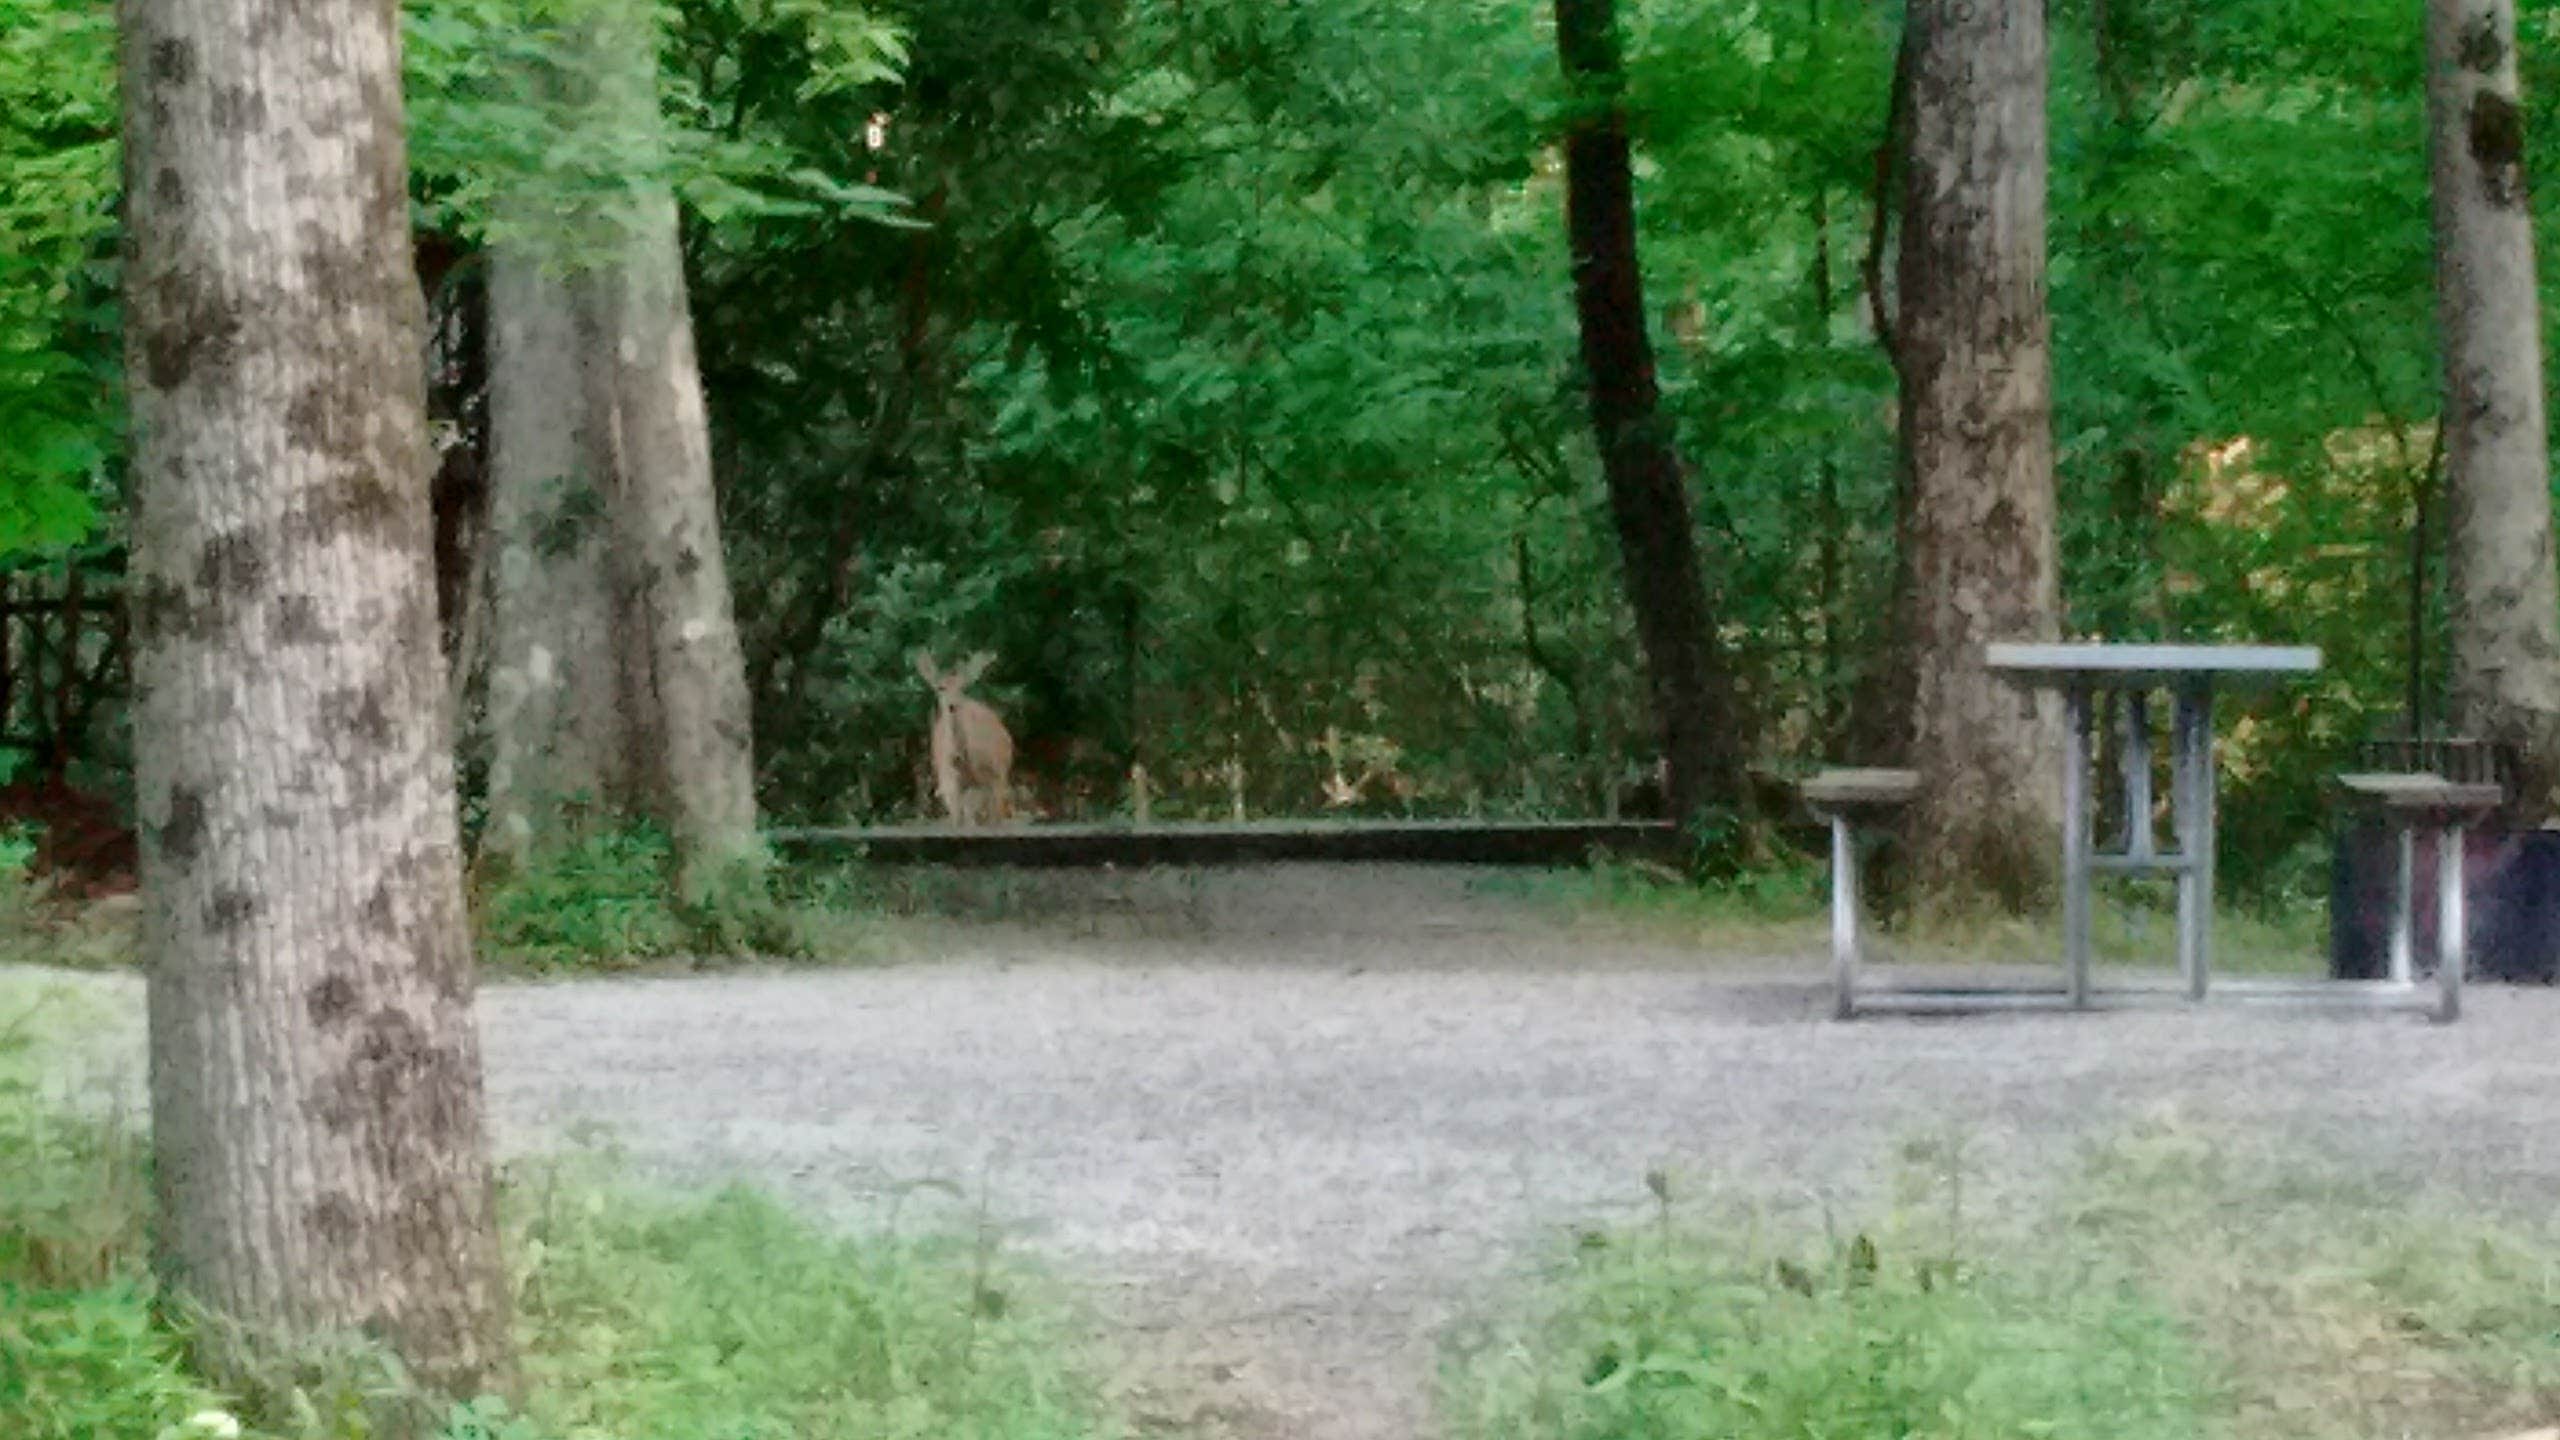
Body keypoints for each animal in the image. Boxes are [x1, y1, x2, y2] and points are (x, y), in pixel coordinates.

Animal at [911, 648, 1008, 825]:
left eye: (962, 687)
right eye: (940, 687)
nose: (953, 706)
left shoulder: (994, 776)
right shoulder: (950, 782)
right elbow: (957, 820)